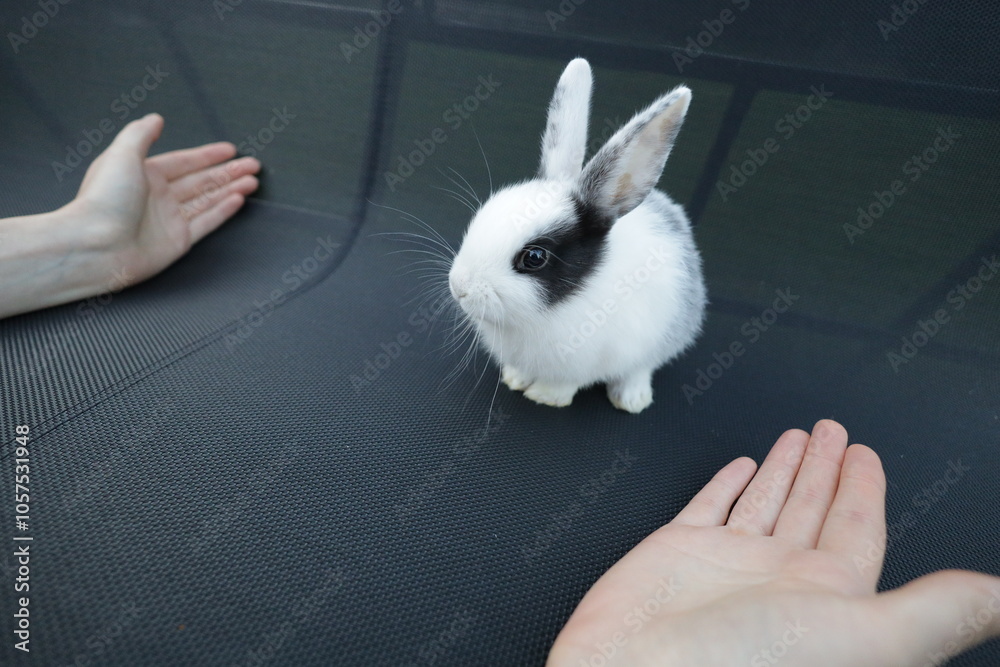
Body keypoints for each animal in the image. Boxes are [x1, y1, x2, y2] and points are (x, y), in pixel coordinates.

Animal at [450, 58, 708, 412]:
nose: (458, 287)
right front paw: (515, 380)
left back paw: (632, 400)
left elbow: (566, 383)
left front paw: (545, 397)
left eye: (534, 258)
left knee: (640, 368)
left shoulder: (587, 360)